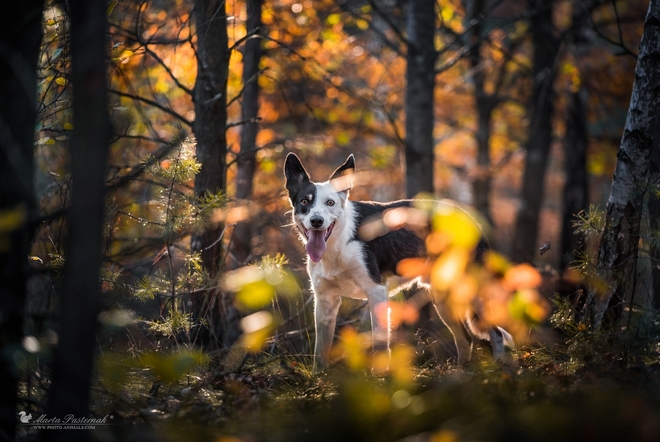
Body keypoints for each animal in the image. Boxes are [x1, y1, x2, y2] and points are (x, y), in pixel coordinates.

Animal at [284, 152, 510, 370]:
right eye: (304, 201)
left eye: (330, 203)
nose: (317, 221)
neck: (338, 243)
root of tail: (469, 218)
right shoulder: (325, 301)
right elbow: (319, 353)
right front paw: (320, 379)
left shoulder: (376, 292)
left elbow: (380, 345)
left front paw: (378, 377)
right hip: (442, 298)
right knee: (465, 339)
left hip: (473, 291)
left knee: (496, 334)